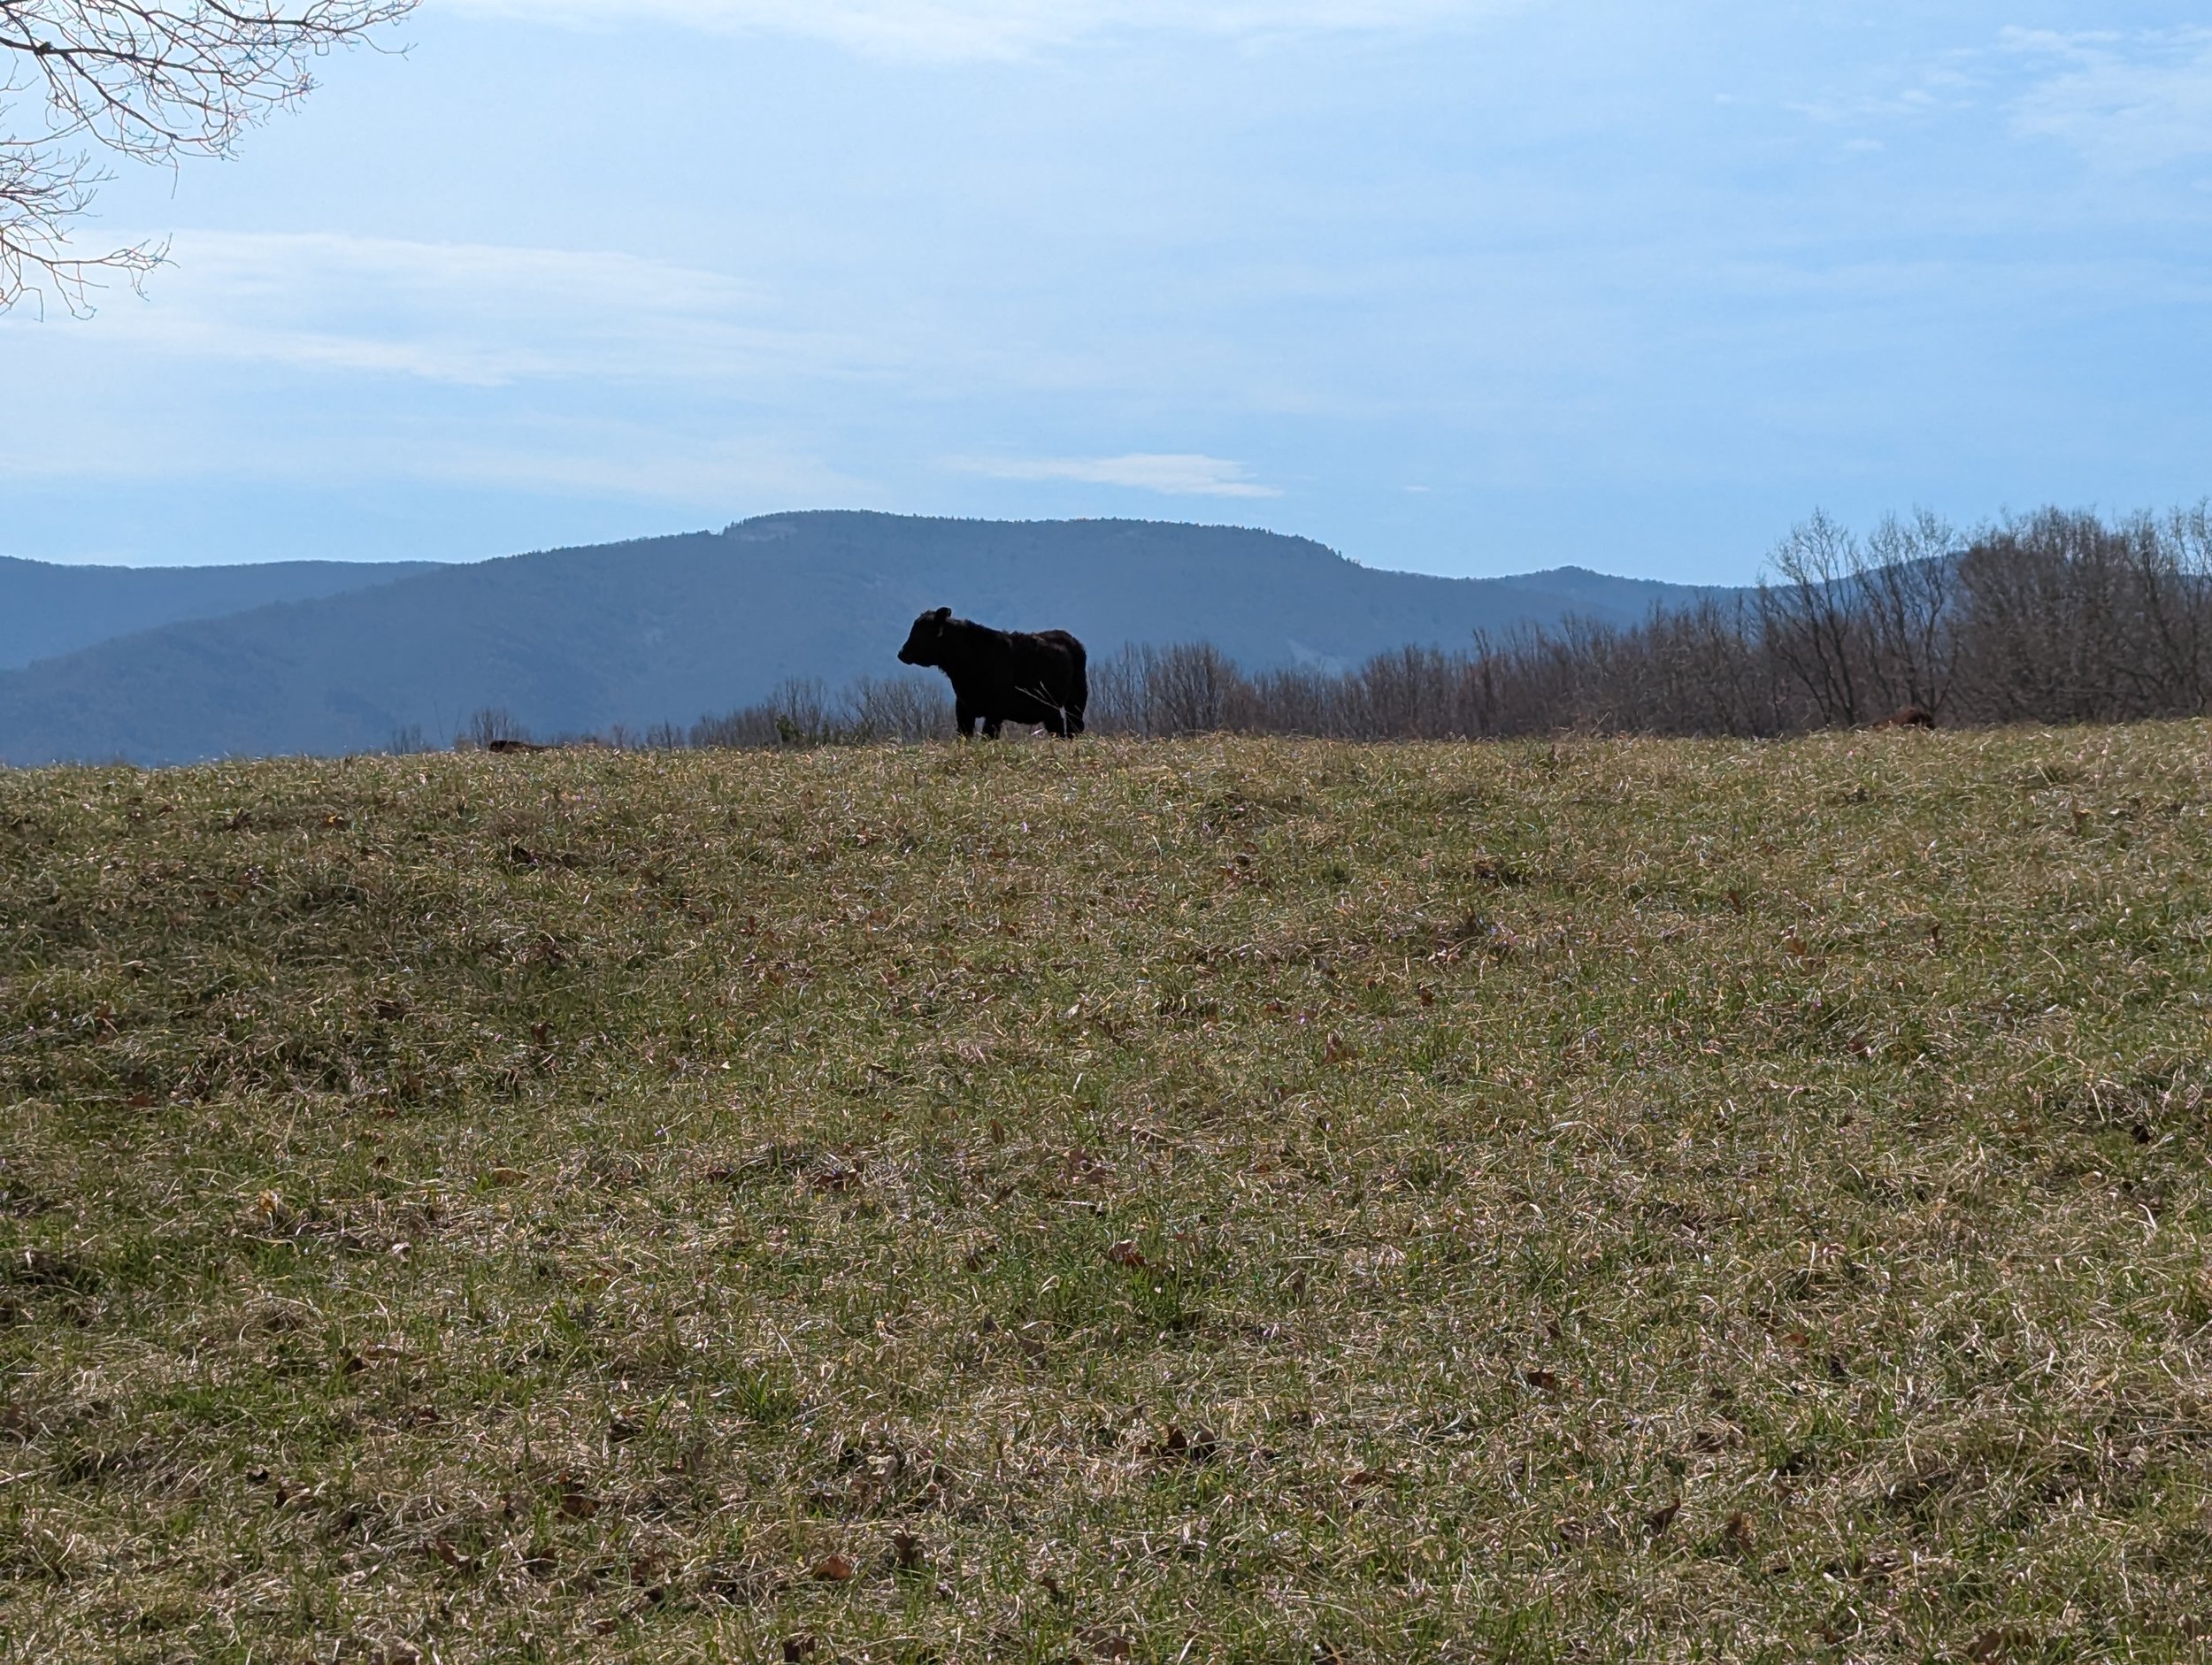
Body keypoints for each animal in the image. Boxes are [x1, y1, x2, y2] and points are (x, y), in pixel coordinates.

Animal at [896, 607, 1088, 738]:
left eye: (922, 633)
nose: (902, 653)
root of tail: (1069, 638)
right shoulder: (964, 707)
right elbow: (964, 736)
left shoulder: (995, 711)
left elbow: (987, 737)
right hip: (1050, 707)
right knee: (1059, 728)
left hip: (1076, 699)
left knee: (1074, 726)